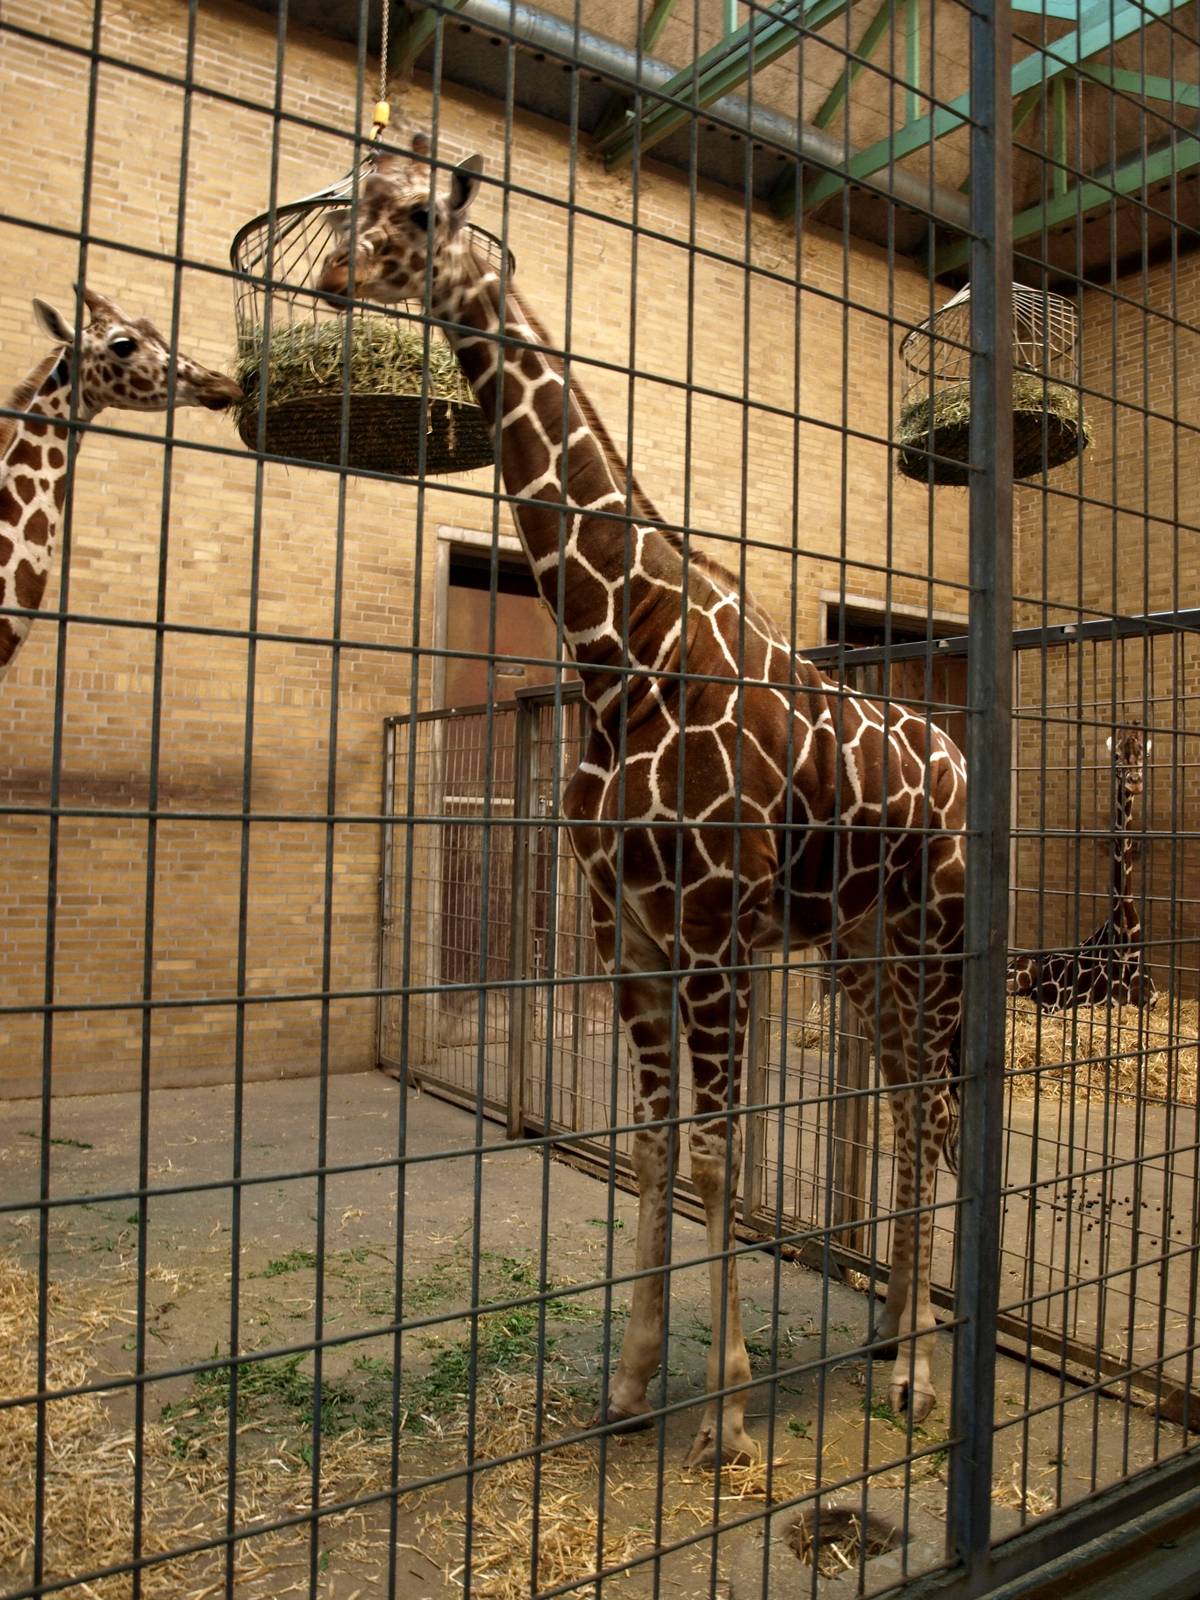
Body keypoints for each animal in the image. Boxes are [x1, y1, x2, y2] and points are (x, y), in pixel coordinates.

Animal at [317, 144, 967, 1463]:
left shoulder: (714, 927)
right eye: (351, 194)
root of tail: (958, 753)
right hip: (862, 942)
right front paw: (631, 1385)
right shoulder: (626, 925)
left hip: (944, 923)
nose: (330, 275)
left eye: (419, 212)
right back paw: (890, 1337)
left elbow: (719, 1158)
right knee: (902, 1098)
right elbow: (651, 1144)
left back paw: (921, 1380)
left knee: (937, 1106)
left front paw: (729, 1418)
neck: (627, 649)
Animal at [1007, 723, 1158, 1011]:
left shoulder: (1150, 1000)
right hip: (1020, 977)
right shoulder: (1090, 1003)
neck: (1126, 938)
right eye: (1116, 756)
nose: (1135, 781)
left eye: (1143, 754)